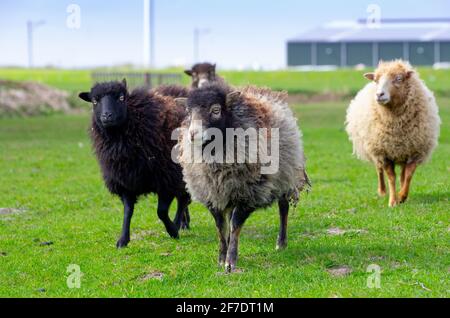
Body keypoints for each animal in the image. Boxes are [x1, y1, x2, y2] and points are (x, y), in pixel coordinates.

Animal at [80, 79, 191, 248]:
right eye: (94, 101)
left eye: (121, 98)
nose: (107, 115)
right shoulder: (125, 181)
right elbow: (128, 211)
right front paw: (123, 240)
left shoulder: (166, 178)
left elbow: (161, 211)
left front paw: (172, 230)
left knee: (183, 200)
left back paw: (179, 224)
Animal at [348, 60, 440, 207]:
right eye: (376, 80)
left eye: (399, 78)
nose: (379, 94)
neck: (397, 126)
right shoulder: (383, 153)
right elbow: (391, 177)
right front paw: (392, 201)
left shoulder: (415, 152)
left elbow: (408, 175)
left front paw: (402, 196)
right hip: (374, 148)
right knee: (379, 170)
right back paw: (382, 191)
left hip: (402, 152)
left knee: (402, 174)